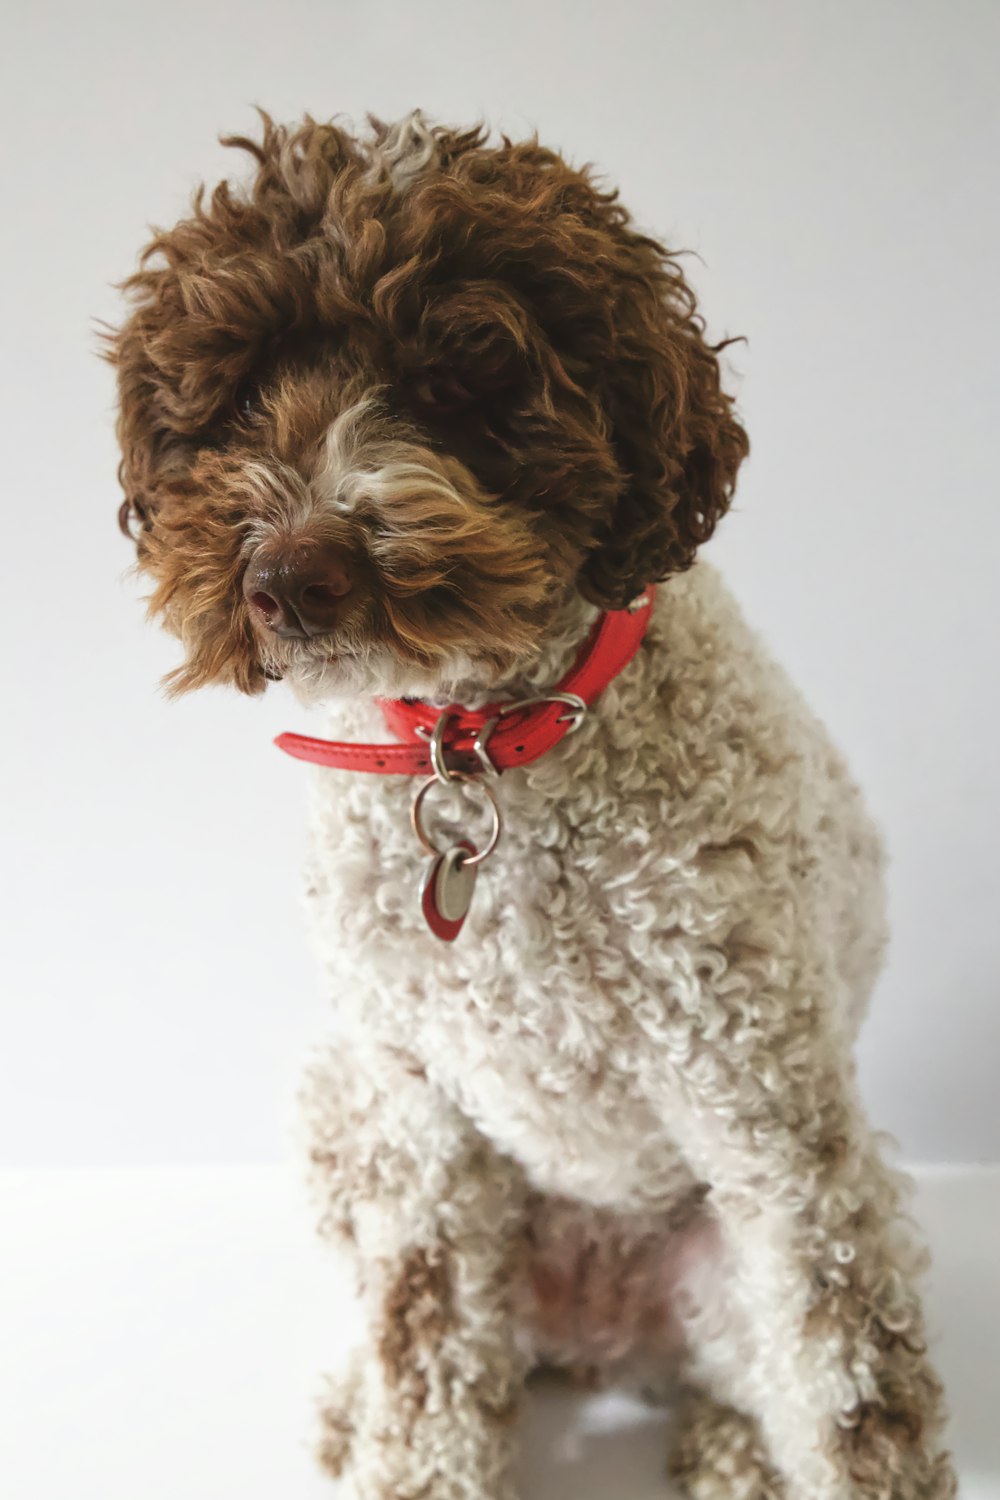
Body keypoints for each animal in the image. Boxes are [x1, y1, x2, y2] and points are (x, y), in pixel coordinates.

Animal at [109, 114, 953, 1500]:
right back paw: (355, 1409)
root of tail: (598, 1329)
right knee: (439, 1338)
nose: (292, 574)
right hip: (338, 1108)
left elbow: (850, 1394)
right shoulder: (418, 1126)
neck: (482, 751)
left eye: (458, 382)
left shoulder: (771, 1114)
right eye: (232, 397)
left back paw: (735, 1451)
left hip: (762, 1232)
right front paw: (402, 1449)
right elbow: (425, 1358)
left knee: (763, 1368)